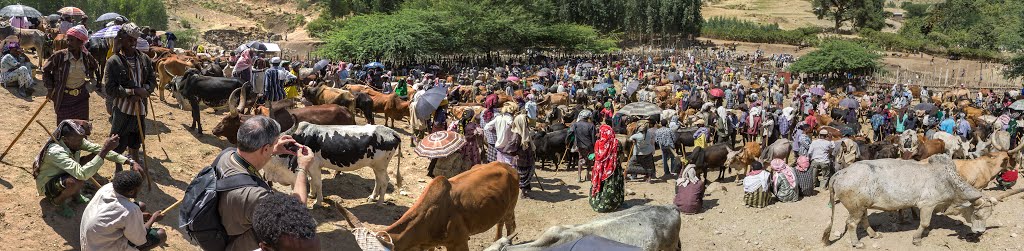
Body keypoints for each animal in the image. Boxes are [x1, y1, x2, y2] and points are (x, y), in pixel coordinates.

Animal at [264, 121, 403, 205]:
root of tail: (392, 132)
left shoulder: (314, 165)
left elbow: (317, 183)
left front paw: (318, 202)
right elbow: (311, 180)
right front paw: (312, 194)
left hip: (380, 166)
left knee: (384, 181)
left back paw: (379, 202)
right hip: (376, 166)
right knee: (378, 180)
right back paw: (372, 197)